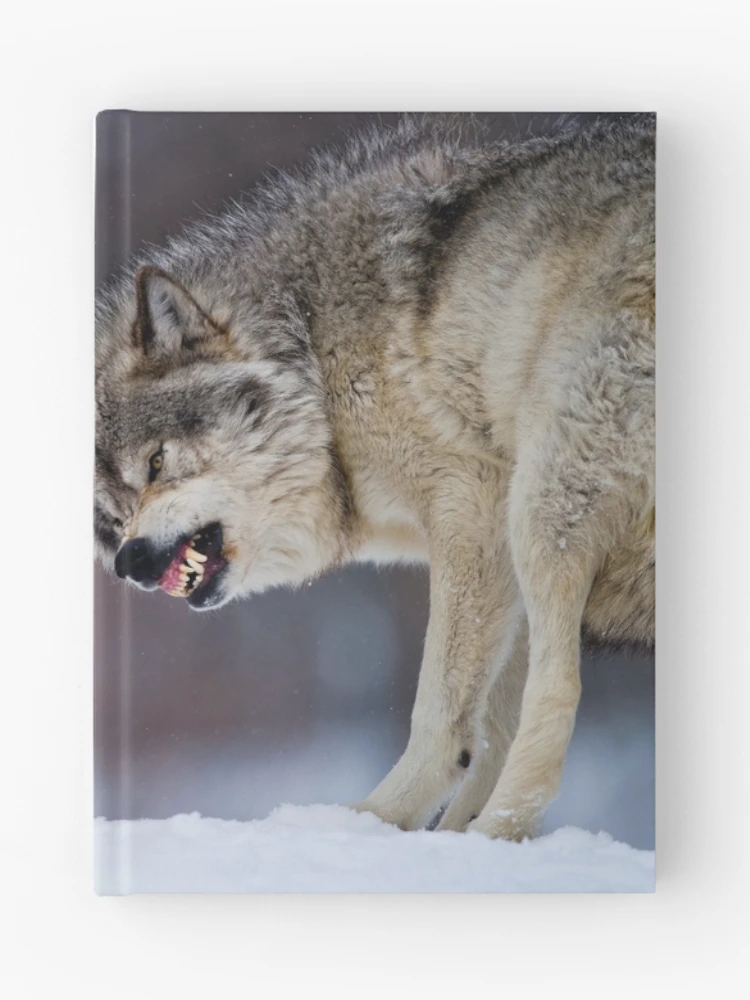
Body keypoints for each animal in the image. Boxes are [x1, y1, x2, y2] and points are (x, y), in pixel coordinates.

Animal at [95, 114, 655, 841]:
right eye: (112, 517)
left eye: (157, 464)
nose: (129, 562)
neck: (313, 347)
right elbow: (490, 729)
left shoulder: (474, 504)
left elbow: (445, 713)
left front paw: (370, 825)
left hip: (541, 506)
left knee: (560, 689)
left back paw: (489, 832)